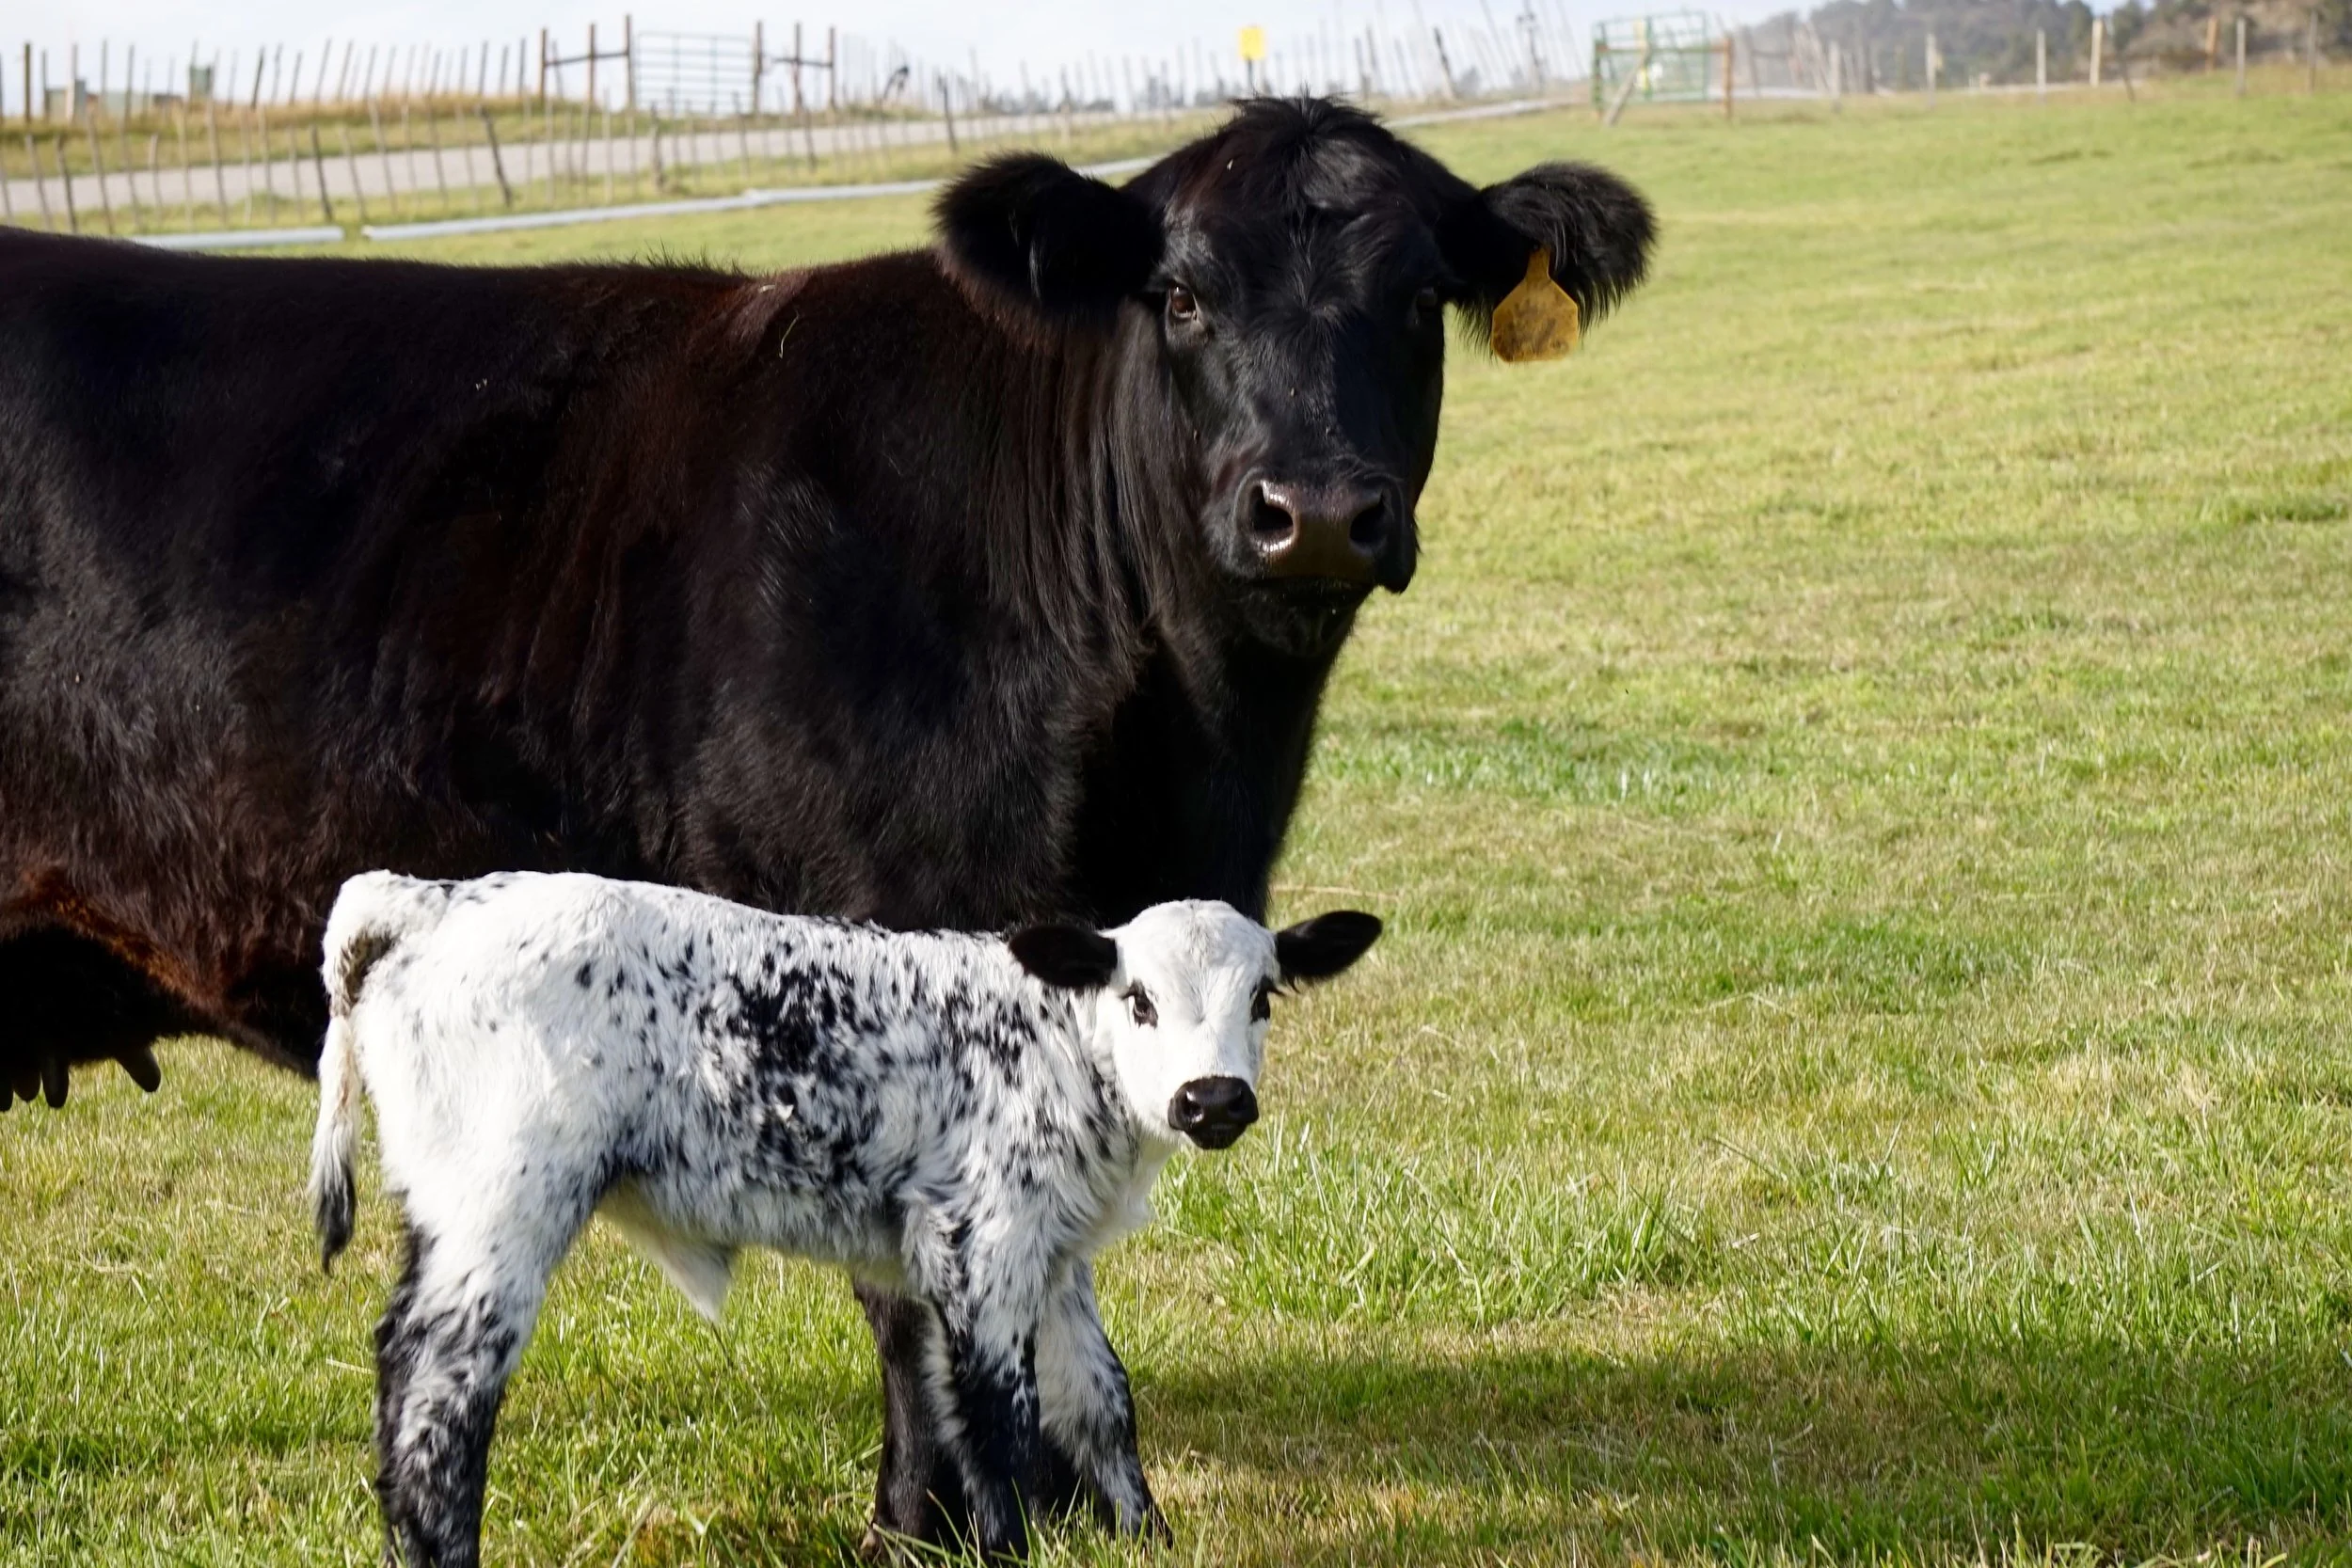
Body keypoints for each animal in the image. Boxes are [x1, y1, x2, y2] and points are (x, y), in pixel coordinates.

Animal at [307, 870, 1383, 1565]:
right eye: (1140, 999)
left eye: (1264, 996)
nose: (1214, 1099)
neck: (1051, 1040)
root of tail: (431, 899)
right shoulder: (979, 1242)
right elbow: (997, 1414)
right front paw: (1011, 1547)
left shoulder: (1051, 1254)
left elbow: (1100, 1400)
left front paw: (1147, 1535)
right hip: (506, 1202)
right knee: (444, 1384)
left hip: (449, 1206)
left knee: (400, 1355)